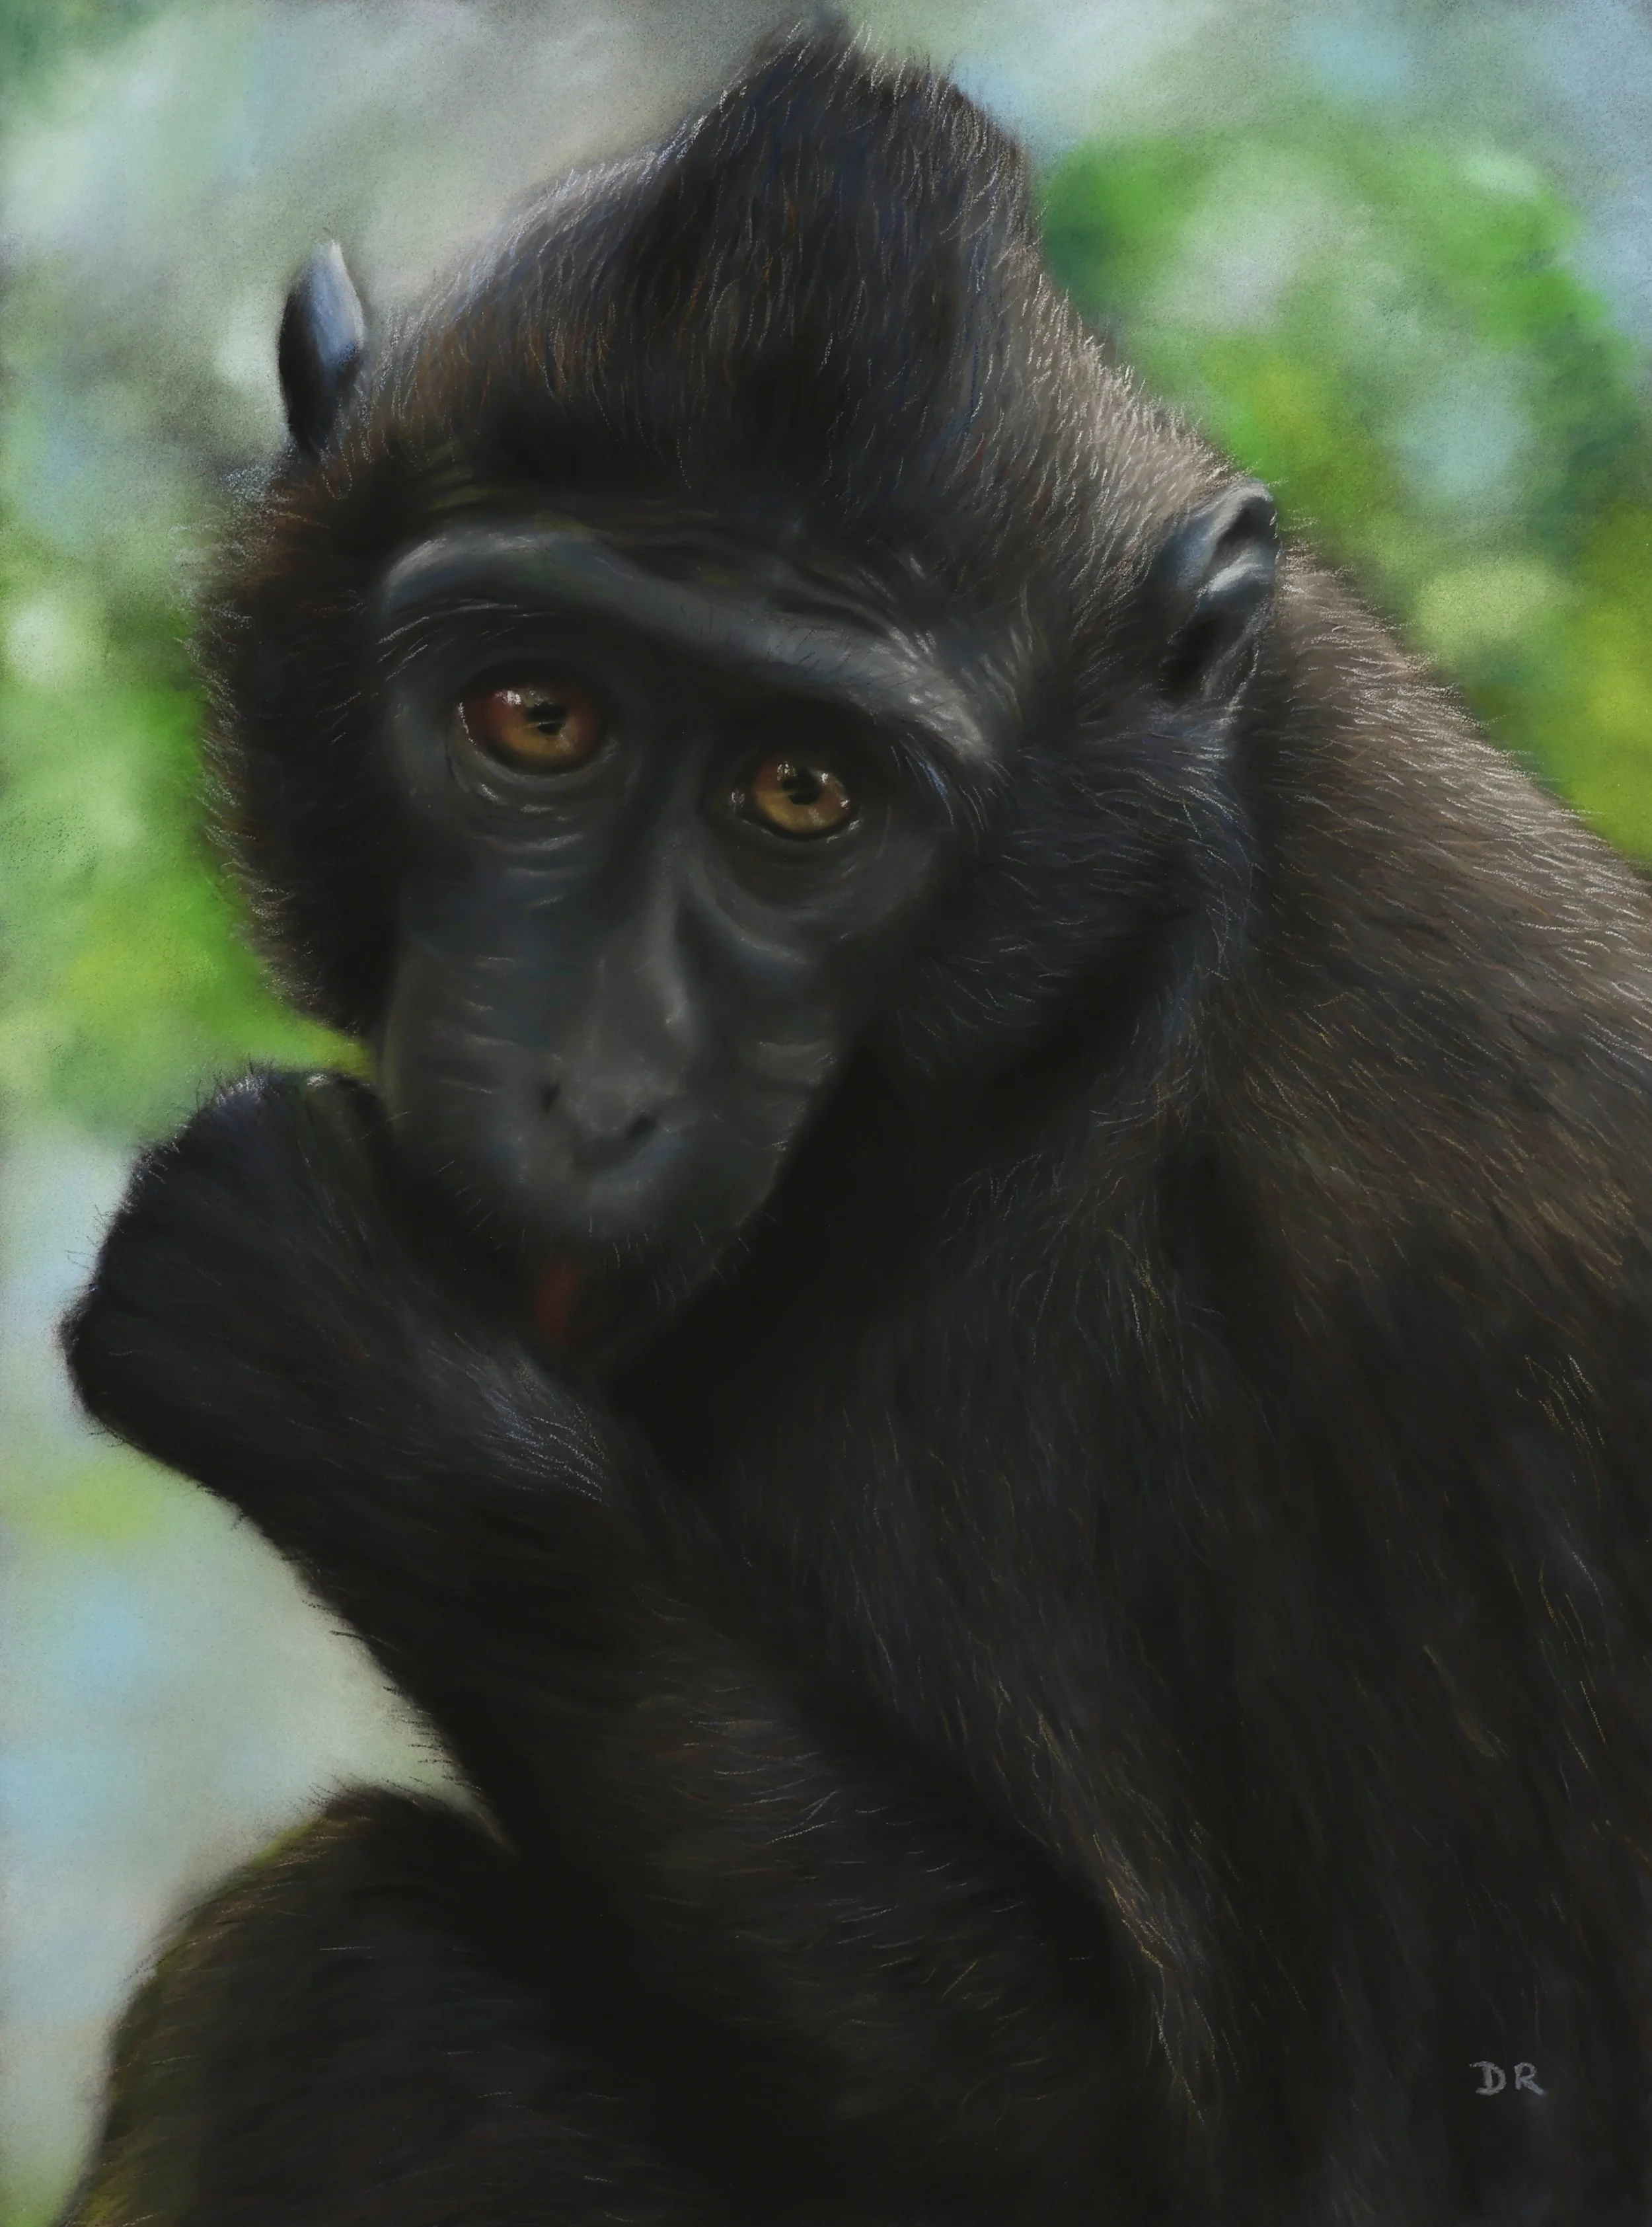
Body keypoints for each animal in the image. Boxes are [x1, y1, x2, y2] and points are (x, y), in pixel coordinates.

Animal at [55, 23, 1652, 2227]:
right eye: (535, 718)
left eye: (802, 798)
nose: (589, 1087)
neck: (1054, 1015)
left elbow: (1111, 2116)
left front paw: (349, 1372)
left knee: (338, 1965)